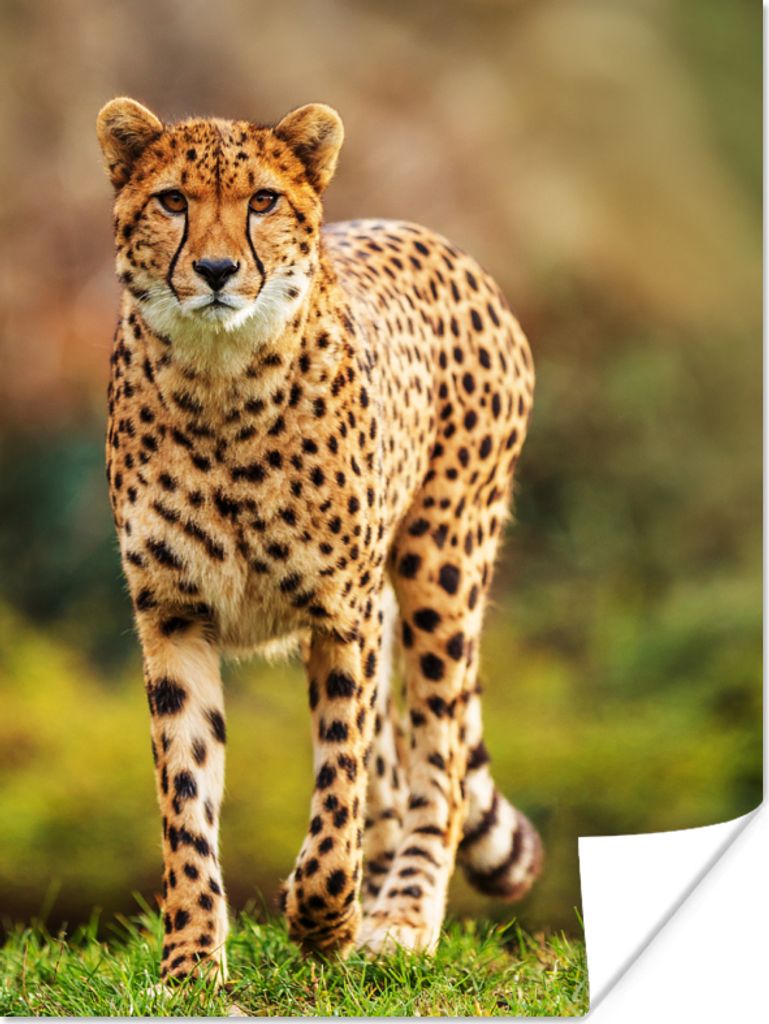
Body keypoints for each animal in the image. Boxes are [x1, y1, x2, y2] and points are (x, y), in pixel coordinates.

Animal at [96, 96, 542, 985]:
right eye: (172, 201)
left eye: (263, 201)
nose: (216, 271)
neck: (219, 381)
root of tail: (433, 239)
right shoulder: (173, 615)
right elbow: (185, 796)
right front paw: (191, 960)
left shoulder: (344, 613)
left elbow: (339, 784)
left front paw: (321, 918)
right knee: (396, 770)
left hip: (440, 566)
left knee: (433, 762)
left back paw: (399, 918)